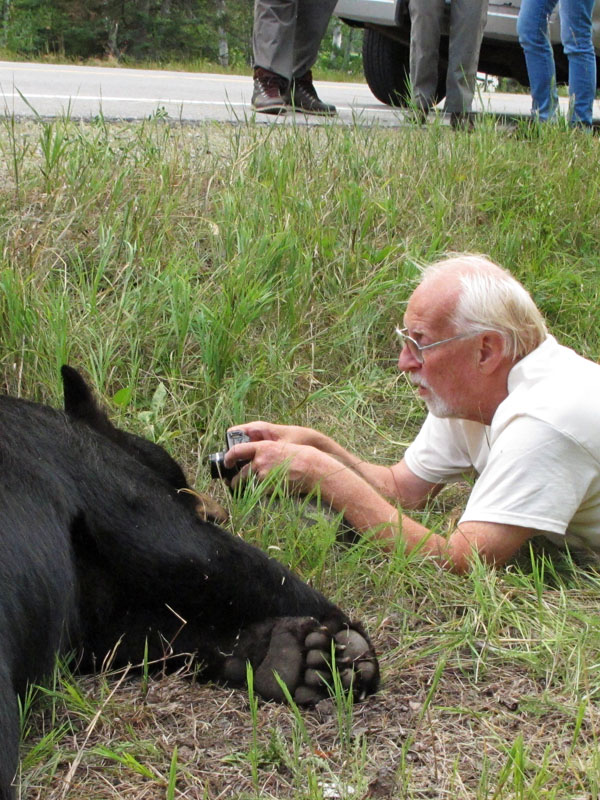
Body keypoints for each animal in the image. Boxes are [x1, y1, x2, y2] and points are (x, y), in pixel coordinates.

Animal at [0, 366, 379, 799]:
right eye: (179, 479)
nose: (217, 512)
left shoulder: (90, 609)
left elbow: (141, 633)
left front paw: (288, 656)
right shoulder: (107, 478)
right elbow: (217, 560)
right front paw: (344, 645)